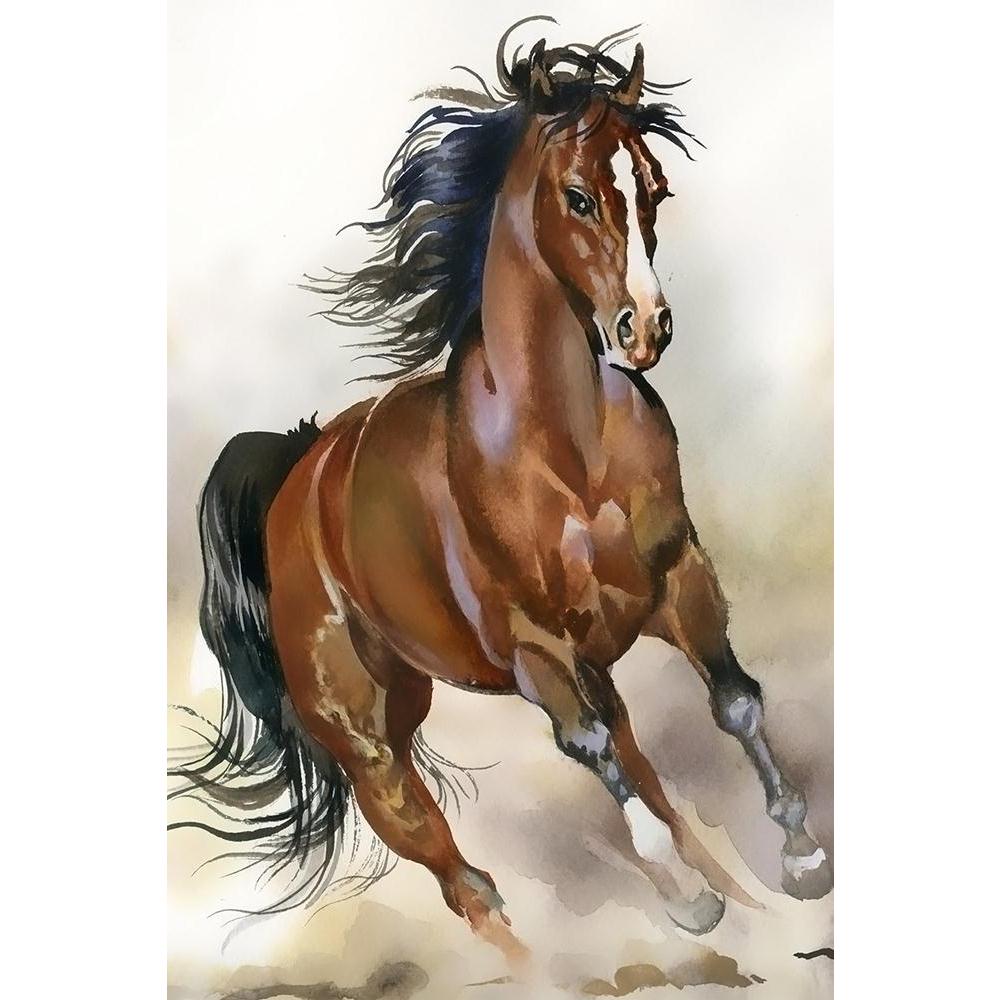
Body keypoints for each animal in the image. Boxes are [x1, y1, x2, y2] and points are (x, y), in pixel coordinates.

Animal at [171, 21, 831, 963]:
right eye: (578, 196)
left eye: (654, 189)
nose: (646, 328)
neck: (565, 452)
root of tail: (300, 474)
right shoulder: (533, 649)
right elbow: (593, 755)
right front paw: (687, 901)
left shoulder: (678, 581)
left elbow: (734, 704)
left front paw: (802, 856)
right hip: (370, 740)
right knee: (456, 870)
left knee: (636, 772)